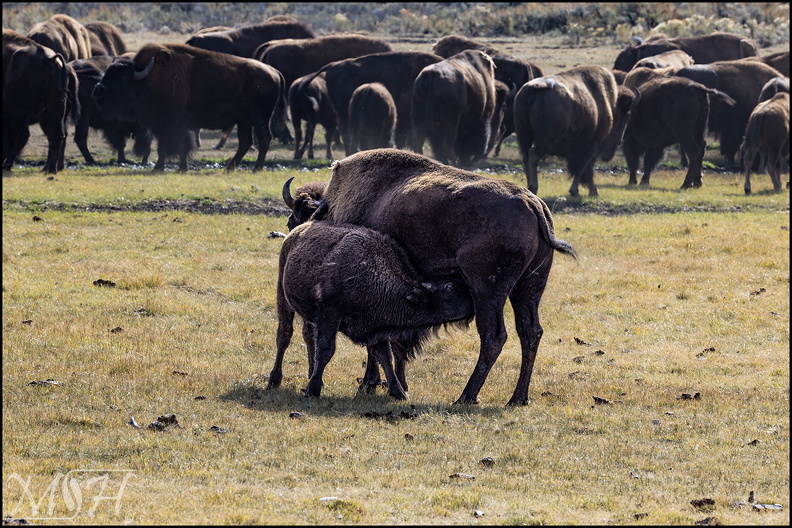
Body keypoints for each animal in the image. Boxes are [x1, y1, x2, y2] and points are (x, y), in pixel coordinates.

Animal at [3, 29, 79, 174]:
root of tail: (50, 60)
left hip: (21, 111)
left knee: (25, 135)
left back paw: (8, 165)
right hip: (55, 108)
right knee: (58, 135)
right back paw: (52, 169)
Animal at [92, 43, 289, 172]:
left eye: (123, 78)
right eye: (107, 72)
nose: (98, 89)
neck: (146, 79)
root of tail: (273, 71)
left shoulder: (172, 123)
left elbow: (171, 146)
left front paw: (162, 168)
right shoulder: (163, 125)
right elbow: (174, 146)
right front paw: (178, 168)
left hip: (259, 117)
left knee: (263, 139)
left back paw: (256, 168)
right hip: (244, 120)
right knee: (246, 142)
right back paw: (229, 168)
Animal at [269, 220, 474, 400]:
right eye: (449, 286)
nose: (474, 300)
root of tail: (296, 233)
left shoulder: (376, 329)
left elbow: (385, 357)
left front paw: (399, 392)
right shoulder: (330, 313)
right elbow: (327, 350)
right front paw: (313, 390)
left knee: (308, 336)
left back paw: (311, 372)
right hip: (283, 297)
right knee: (284, 336)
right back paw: (274, 380)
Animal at [514, 65, 640, 197]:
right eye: (627, 115)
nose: (620, 141)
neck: (611, 104)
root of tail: (531, 90)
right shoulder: (592, 145)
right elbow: (583, 167)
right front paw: (584, 191)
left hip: (524, 137)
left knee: (526, 158)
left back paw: (528, 189)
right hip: (546, 141)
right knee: (533, 156)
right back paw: (533, 187)